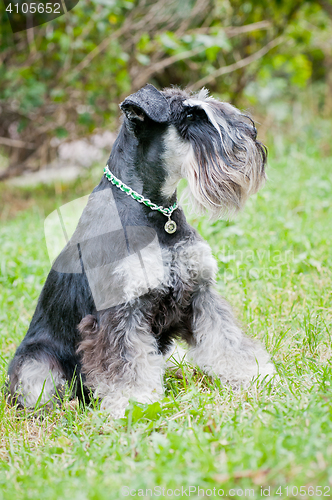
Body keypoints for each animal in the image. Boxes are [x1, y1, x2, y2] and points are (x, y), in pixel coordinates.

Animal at [7, 84, 274, 416]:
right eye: (190, 115)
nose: (252, 135)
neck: (156, 212)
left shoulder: (200, 293)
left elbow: (225, 338)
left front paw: (252, 373)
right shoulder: (120, 310)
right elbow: (126, 362)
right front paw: (136, 402)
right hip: (36, 363)